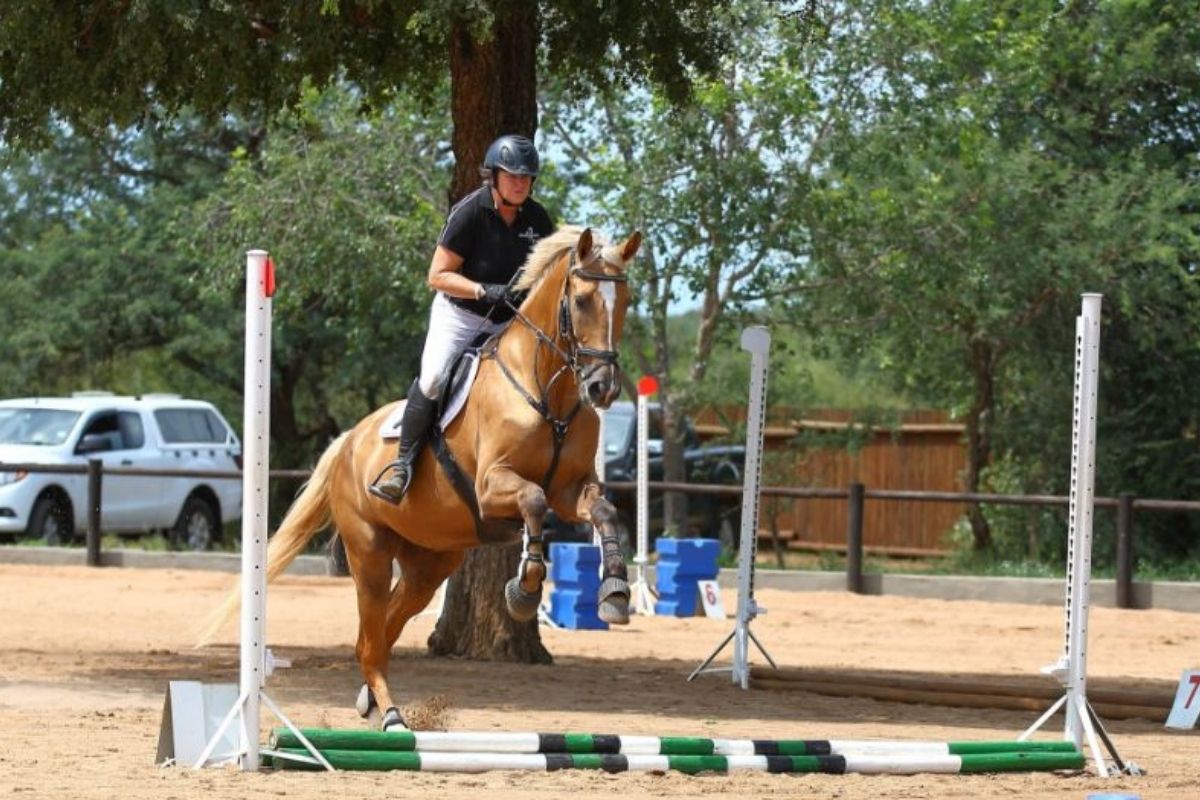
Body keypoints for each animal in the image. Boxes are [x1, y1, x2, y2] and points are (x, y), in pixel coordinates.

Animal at [206, 225, 642, 732]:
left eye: (625, 300)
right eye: (583, 300)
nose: (602, 388)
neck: (547, 389)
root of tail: (349, 441)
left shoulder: (570, 491)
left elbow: (603, 511)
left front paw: (615, 594)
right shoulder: (492, 486)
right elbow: (533, 500)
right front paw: (524, 591)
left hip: (428, 565)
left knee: (385, 629)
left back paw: (371, 700)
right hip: (370, 552)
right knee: (371, 636)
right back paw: (391, 713)